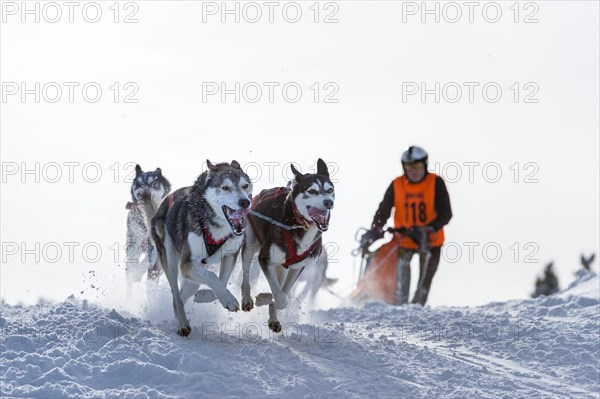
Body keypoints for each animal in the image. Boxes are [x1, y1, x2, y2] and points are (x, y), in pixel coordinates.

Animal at [139, 161, 252, 336]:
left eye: (245, 185)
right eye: (225, 187)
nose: (245, 202)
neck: (216, 225)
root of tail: (159, 209)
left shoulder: (230, 255)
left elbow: (222, 281)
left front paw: (207, 296)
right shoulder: (187, 263)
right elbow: (212, 276)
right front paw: (228, 299)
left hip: (191, 276)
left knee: (183, 293)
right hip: (170, 261)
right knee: (176, 295)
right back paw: (182, 323)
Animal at [239, 158, 332, 332]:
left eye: (330, 190)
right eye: (312, 191)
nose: (328, 202)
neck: (300, 225)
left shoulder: (297, 268)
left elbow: (283, 295)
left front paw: (269, 305)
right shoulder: (264, 258)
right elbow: (281, 297)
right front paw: (262, 299)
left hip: (282, 267)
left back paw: (273, 319)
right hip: (250, 246)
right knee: (246, 276)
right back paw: (247, 299)